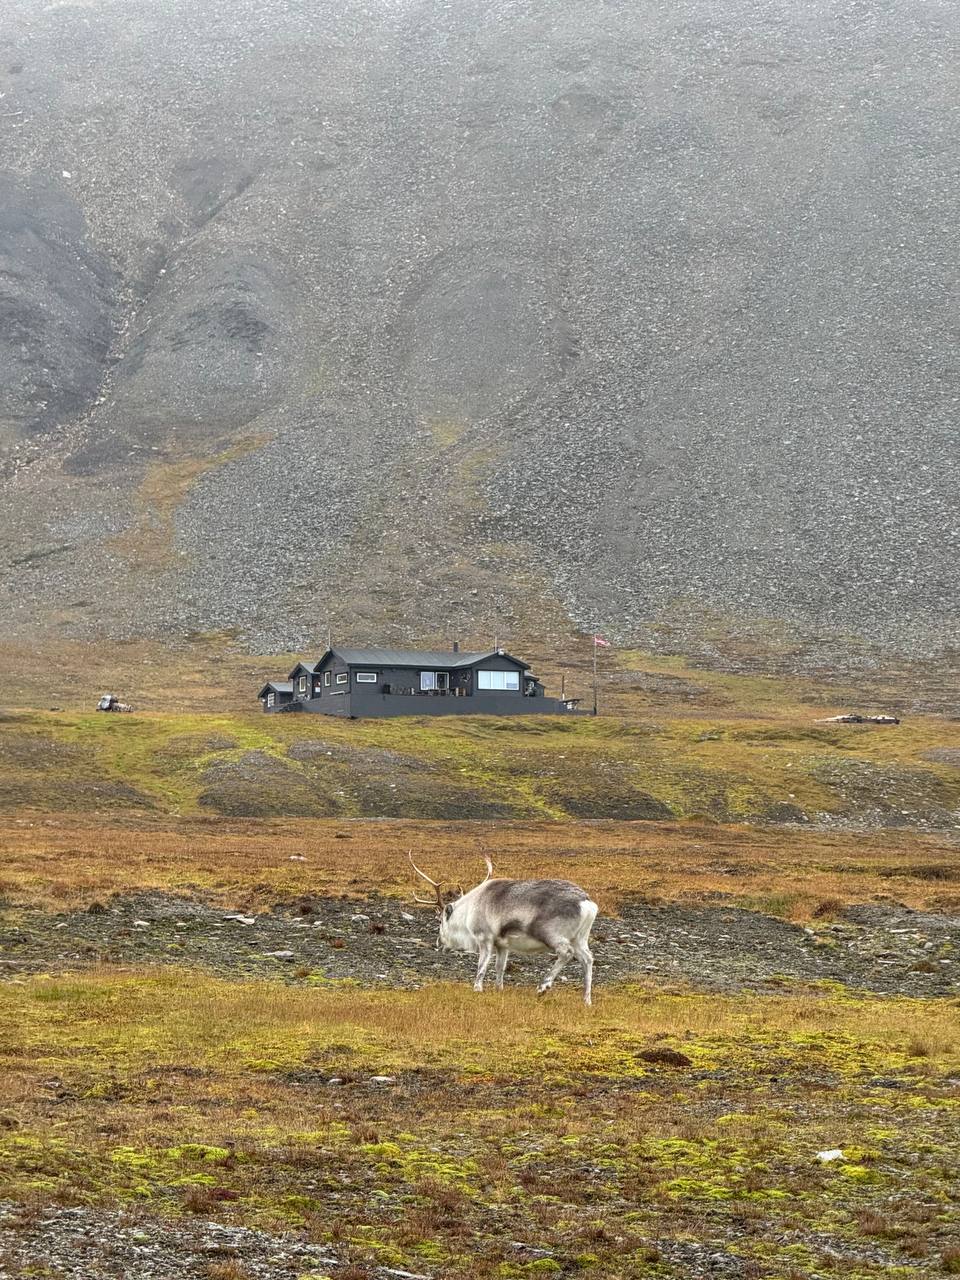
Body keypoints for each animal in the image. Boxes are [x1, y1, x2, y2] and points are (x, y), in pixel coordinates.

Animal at [409, 852, 598, 1005]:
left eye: (440, 921)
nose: (438, 942)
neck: (469, 910)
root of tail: (587, 902)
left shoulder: (485, 938)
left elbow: (482, 966)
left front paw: (477, 988)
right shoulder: (503, 945)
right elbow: (500, 967)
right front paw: (498, 989)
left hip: (551, 934)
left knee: (566, 953)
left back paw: (543, 987)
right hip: (579, 938)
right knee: (588, 958)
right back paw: (586, 1000)